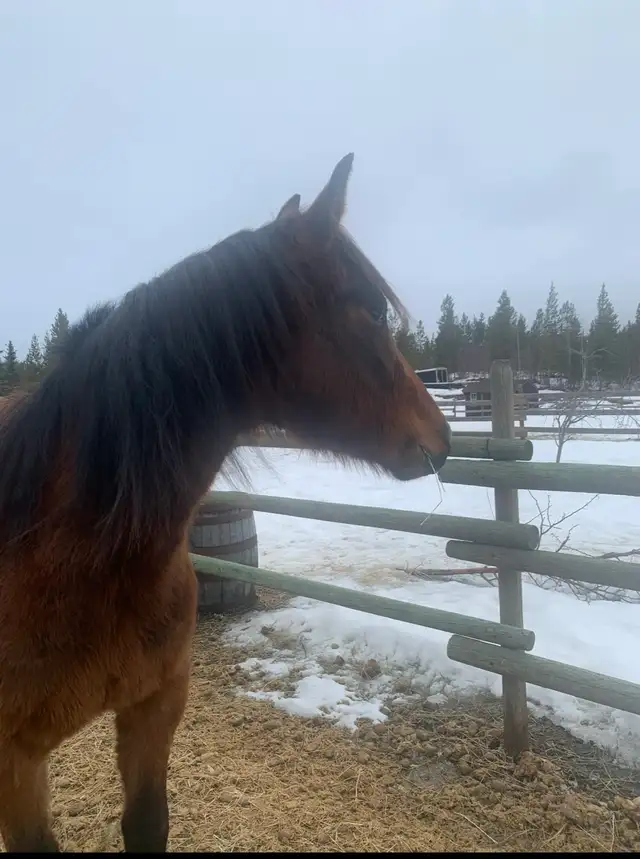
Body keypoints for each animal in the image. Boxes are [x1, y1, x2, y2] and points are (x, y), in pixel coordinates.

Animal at [0, 153, 451, 853]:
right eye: (372, 311)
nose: (442, 438)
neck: (69, 553)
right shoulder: (15, 761)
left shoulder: (155, 707)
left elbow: (148, 824)